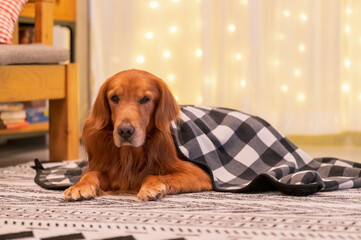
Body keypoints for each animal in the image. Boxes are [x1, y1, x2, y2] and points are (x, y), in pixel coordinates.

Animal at [64, 69, 212, 201]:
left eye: (145, 99)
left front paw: (150, 187)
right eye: (114, 98)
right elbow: (92, 173)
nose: (125, 130)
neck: (131, 154)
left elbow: (153, 175)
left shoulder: (199, 174)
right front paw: (80, 186)